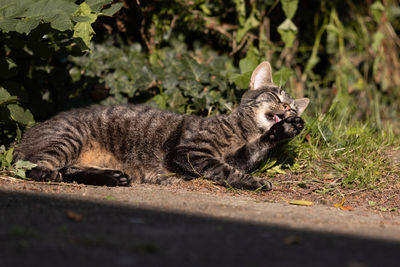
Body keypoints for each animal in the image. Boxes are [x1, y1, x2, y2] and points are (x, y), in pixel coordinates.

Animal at [14, 61, 310, 191]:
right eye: (276, 98)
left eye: (292, 106)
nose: (288, 110)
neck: (243, 132)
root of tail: (25, 135)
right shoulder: (190, 152)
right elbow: (226, 171)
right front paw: (256, 182)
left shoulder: (238, 155)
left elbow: (249, 154)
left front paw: (285, 130)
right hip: (67, 139)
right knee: (32, 167)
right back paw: (49, 174)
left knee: (69, 169)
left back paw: (113, 177)